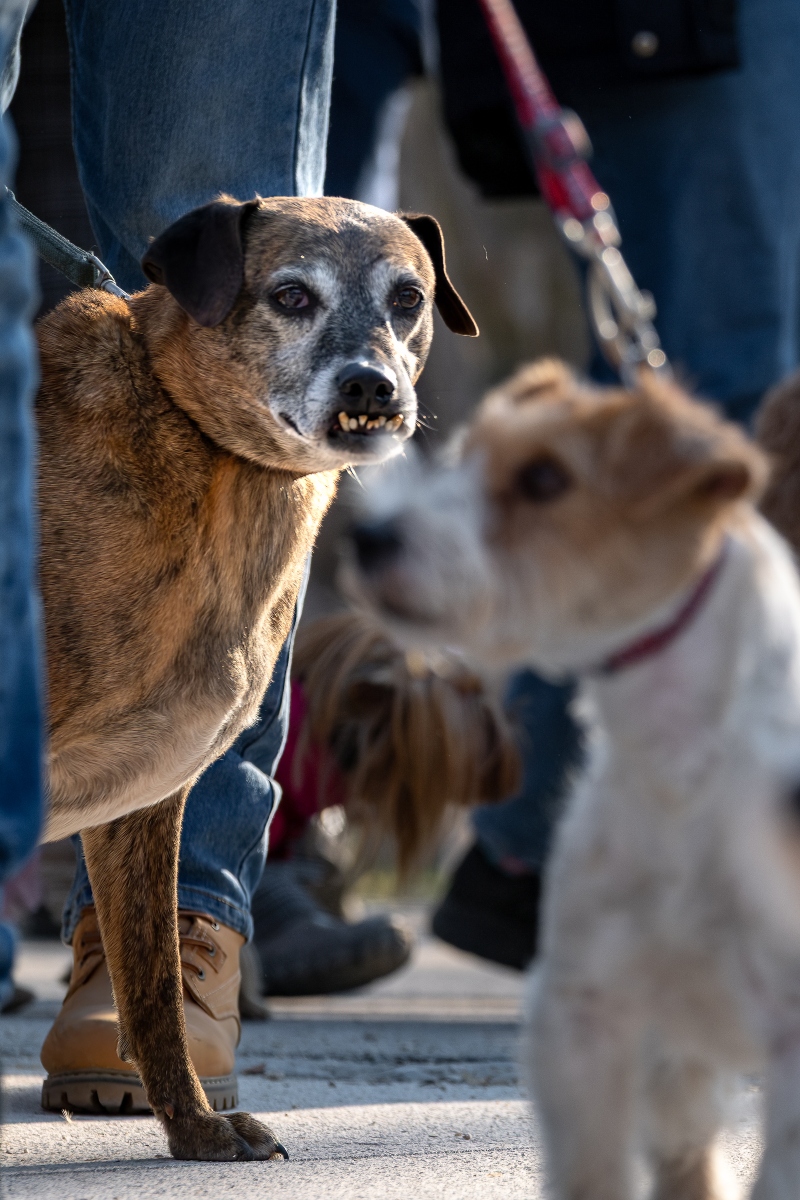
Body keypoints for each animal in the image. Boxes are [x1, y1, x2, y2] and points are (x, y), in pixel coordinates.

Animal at [34, 192, 479, 1156]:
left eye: (408, 298)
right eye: (290, 296)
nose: (371, 388)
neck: (197, 444)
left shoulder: (143, 807)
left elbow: (156, 990)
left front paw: (195, 1127)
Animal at [347, 360, 800, 1200]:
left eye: (546, 478)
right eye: (463, 458)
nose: (370, 536)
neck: (682, 769)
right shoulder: (583, 1018)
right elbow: (595, 1172)